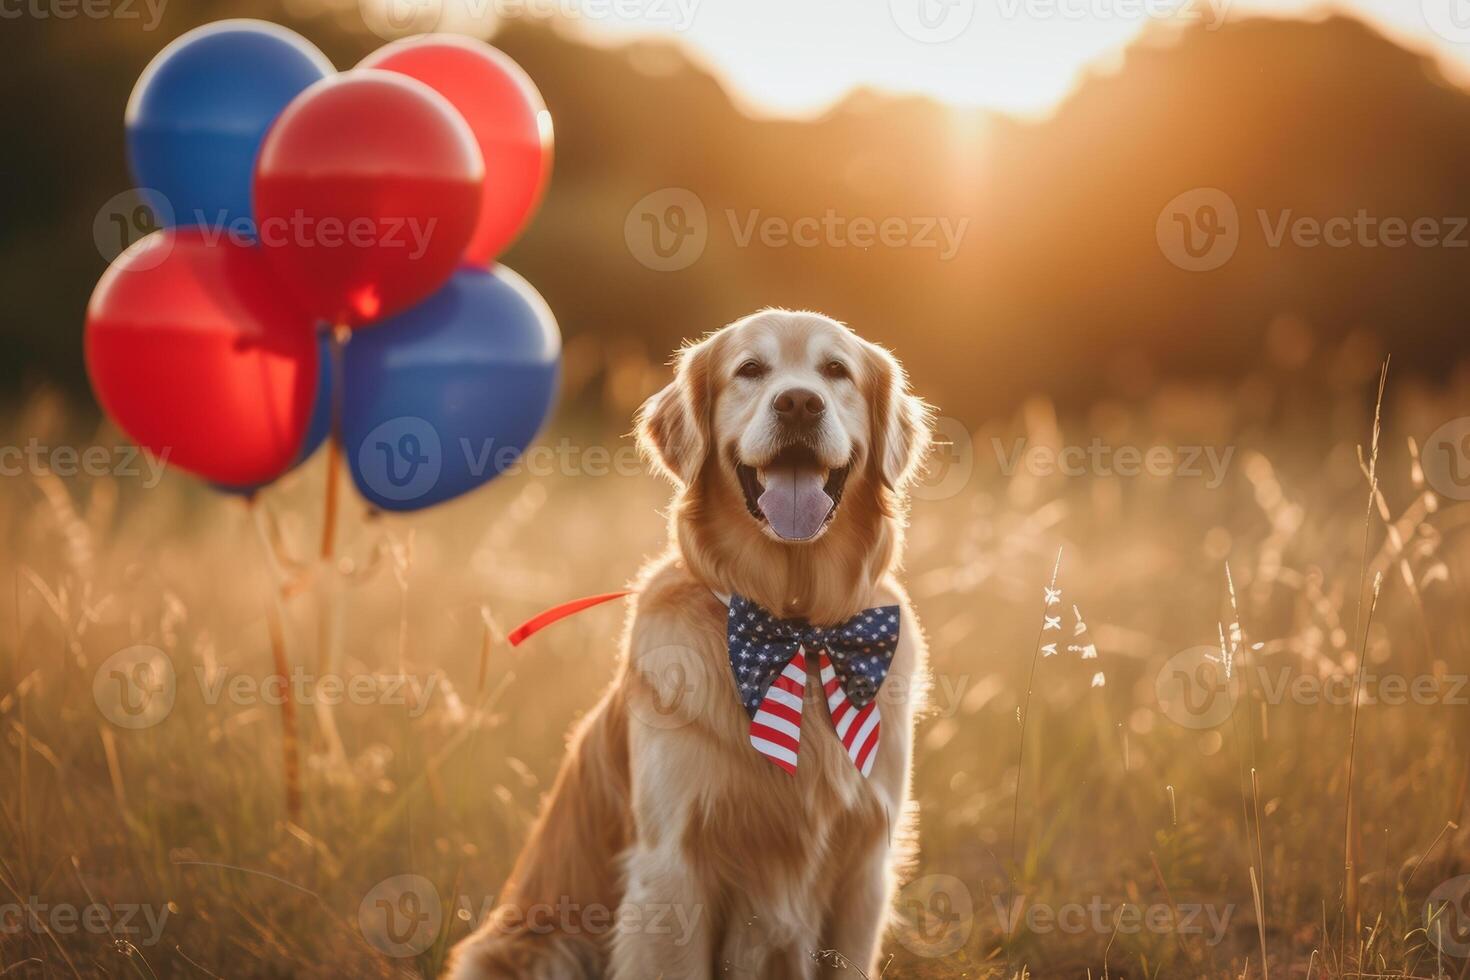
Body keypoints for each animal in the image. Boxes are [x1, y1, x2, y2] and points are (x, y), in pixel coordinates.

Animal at [441, 310, 934, 975]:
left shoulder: (863, 870)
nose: (799, 403)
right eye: (750, 369)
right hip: (541, 946)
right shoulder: (672, 868)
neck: (795, 627)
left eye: (837, 371)